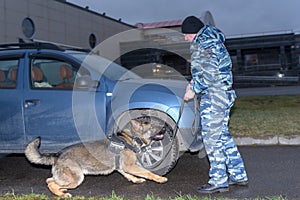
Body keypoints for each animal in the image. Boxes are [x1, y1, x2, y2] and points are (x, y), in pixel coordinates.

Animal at [24, 118, 168, 198]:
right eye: (155, 127)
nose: (166, 127)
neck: (132, 138)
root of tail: (58, 154)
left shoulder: (123, 168)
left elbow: (129, 175)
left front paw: (136, 180)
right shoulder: (130, 166)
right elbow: (147, 172)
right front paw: (159, 178)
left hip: (66, 177)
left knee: (49, 180)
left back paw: (61, 190)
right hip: (77, 178)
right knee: (52, 184)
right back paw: (63, 194)